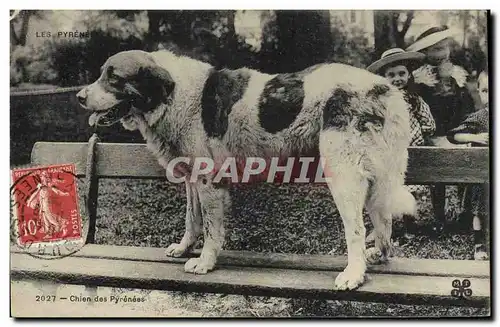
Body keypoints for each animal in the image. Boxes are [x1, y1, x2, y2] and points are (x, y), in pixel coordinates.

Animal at [76, 50, 416, 290]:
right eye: (102, 74)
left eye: (114, 78)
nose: (79, 96)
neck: (172, 96)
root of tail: (384, 87)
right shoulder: (193, 180)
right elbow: (191, 220)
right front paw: (184, 248)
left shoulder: (209, 183)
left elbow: (211, 229)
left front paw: (204, 263)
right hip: (375, 180)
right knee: (384, 222)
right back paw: (378, 255)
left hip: (344, 175)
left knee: (355, 230)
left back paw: (354, 274)